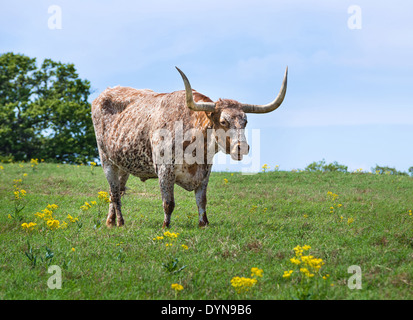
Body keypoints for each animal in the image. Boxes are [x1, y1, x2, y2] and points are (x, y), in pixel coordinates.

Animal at [91, 67, 286, 228]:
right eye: (224, 121)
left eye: (245, 122)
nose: (242, 148)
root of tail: (104, 94)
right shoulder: (164, 170)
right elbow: (168, 203)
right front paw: (166, 226)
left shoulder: (205, 171)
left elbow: (202, 200)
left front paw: (203, 224)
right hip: (106, 160)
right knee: (115, 192)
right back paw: (120, 222)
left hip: (123, 164)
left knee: (116, 190)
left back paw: (110, 221)